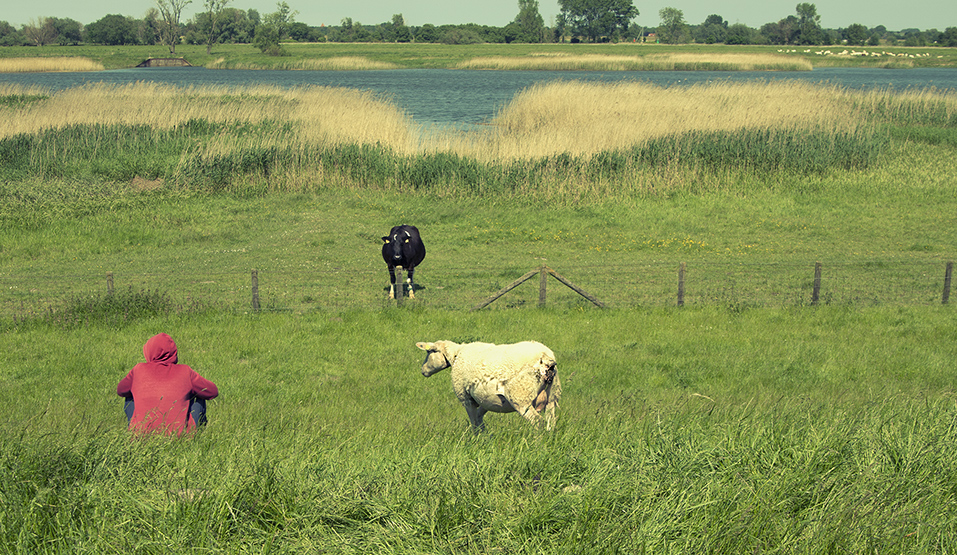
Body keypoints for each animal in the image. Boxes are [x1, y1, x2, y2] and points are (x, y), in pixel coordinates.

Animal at [416, 338, 560, 434]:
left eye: (429, 352)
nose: (423, 371)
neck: (456, 355)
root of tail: (545, 356)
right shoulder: (486, 400)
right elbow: (479, 419)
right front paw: (485, 439)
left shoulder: (466, 398)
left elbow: (474, 423)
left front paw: (476, 441)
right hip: (552, 396)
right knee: (551, 421)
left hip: (520, 396)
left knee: (538, 422)